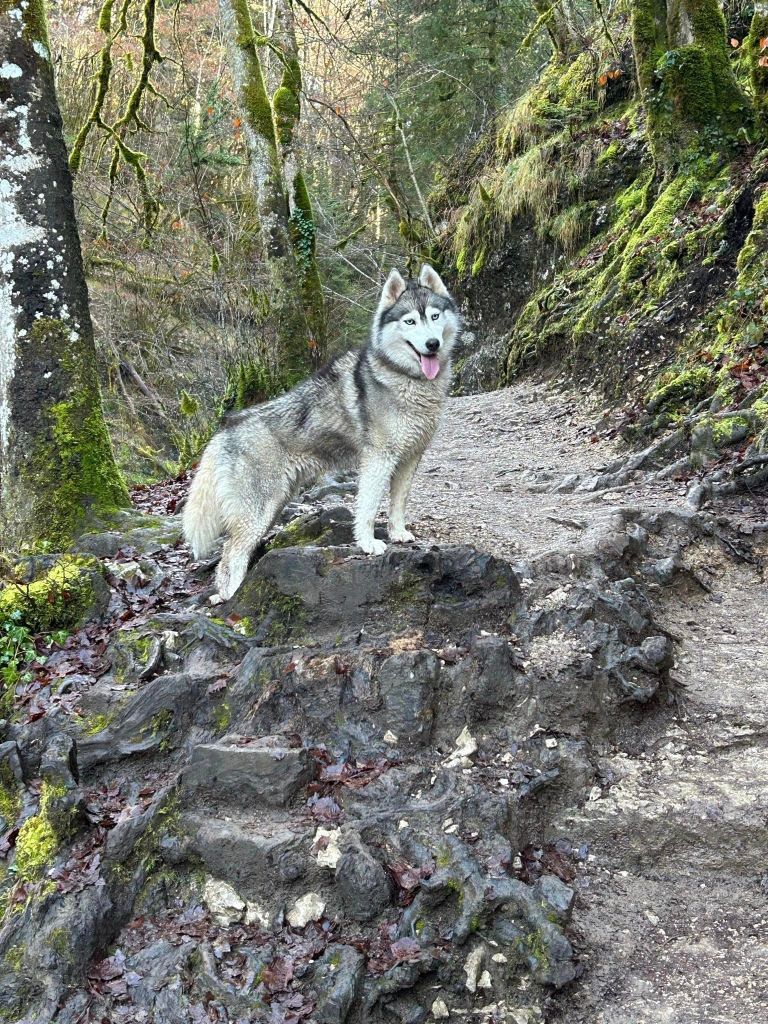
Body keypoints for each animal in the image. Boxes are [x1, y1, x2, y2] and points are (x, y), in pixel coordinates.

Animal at [185, 264, 462, 598]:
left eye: (434, 316)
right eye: (410, 321)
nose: (432, 344)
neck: (404, 379)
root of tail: (226, 427)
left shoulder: (409, 459)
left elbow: (397, 505)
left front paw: (398, 534)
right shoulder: (378, 461)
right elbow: (368, 508)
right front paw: (368, 544)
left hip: (273, 507)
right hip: (257, 512)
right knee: (229, 558)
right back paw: (234, 598)